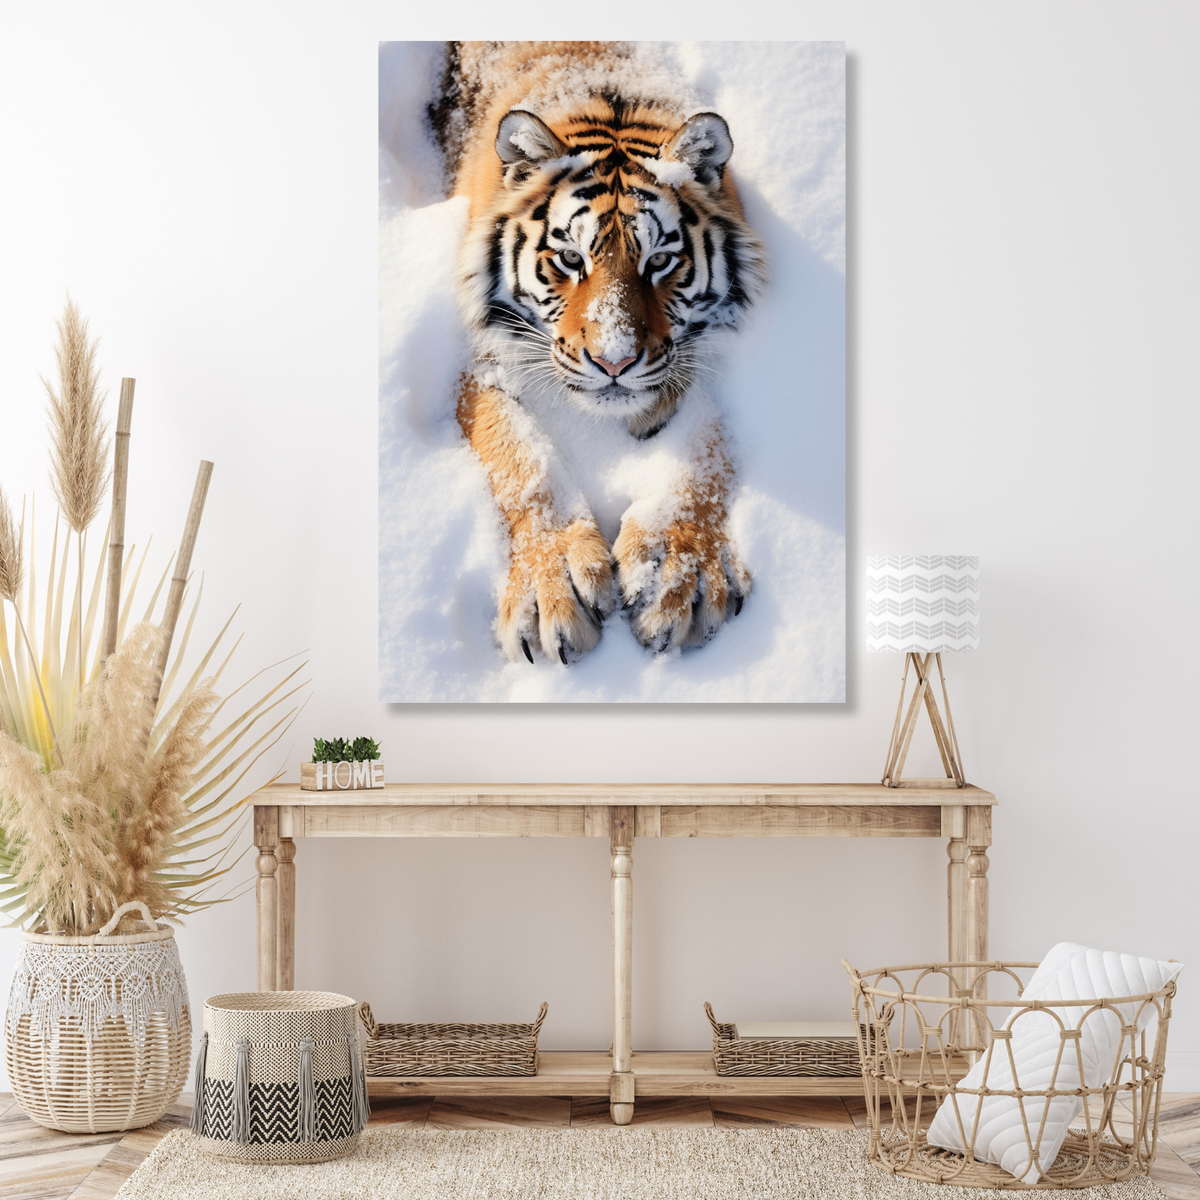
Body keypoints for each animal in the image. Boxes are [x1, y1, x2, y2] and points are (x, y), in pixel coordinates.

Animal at [432, 41, 767, 665]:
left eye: (660, 261)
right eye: (570, 259)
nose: (615, 363)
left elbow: (706, 447)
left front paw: (679, 574)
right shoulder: (475, 354)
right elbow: (521, 456)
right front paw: (553, 588)